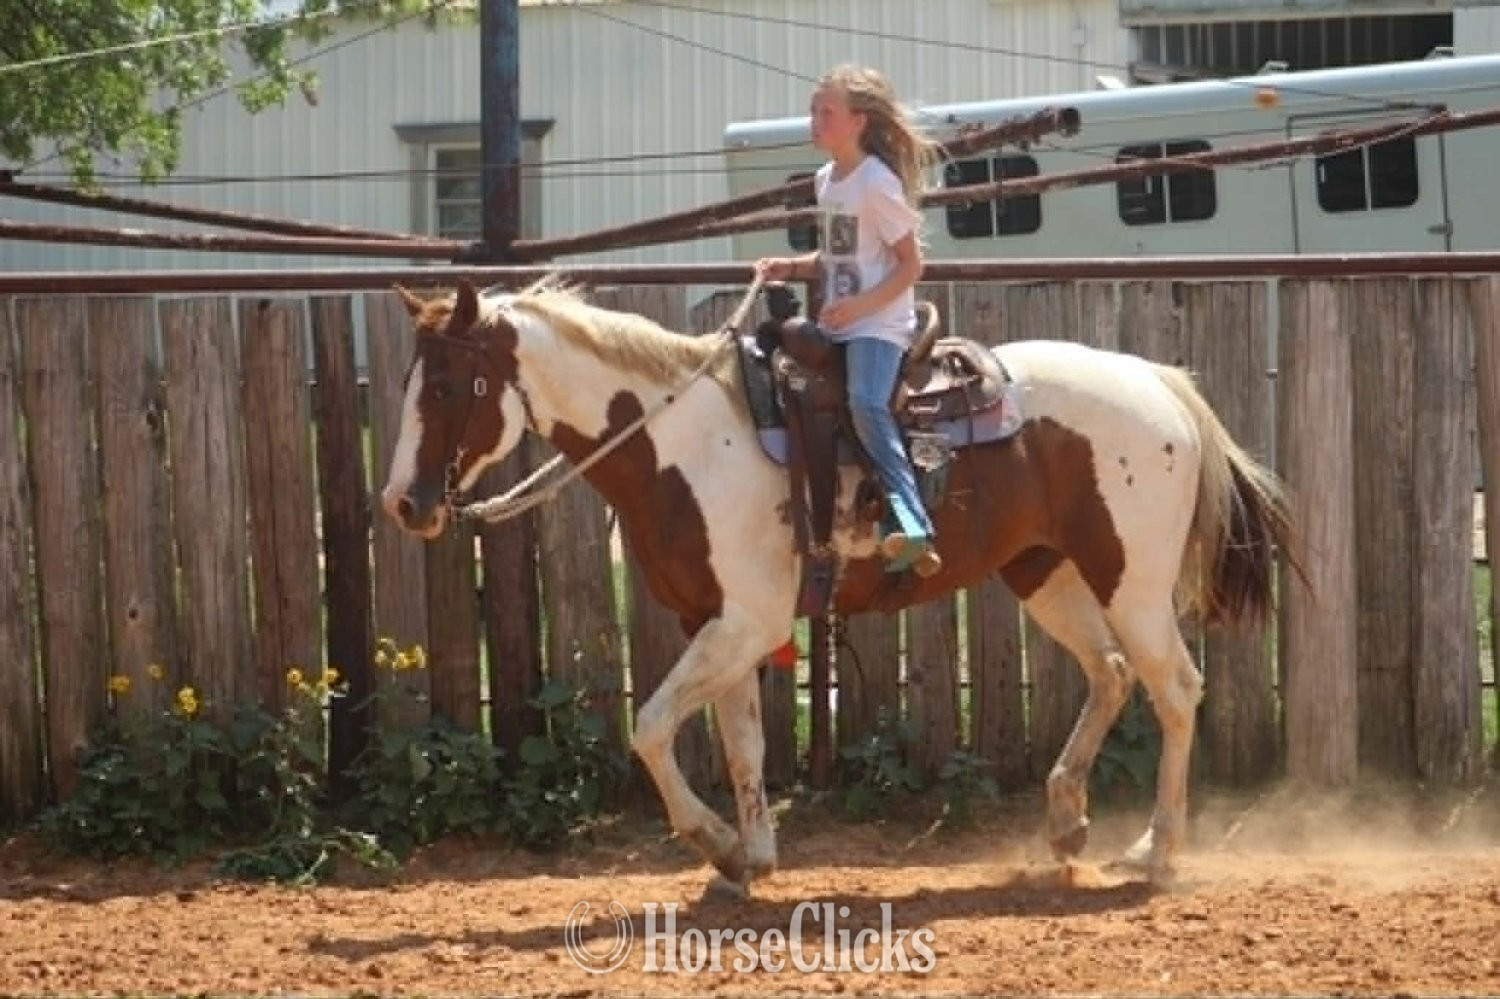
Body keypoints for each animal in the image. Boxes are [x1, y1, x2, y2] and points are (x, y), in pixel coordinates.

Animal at [379, 277, 1294, 891]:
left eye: (451, 384)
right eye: (408, 381)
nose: (403, 502)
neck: (679, 440)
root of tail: (1160, 383)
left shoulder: (744, 623)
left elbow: (650, 727)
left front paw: (713, 840)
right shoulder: (715, 626)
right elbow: (740, 745)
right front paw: (749, 857)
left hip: (1130, 579)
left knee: (1175, 687)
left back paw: (1155, 851)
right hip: (1044, 571)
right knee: (1109, 672)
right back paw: (1067, 821)